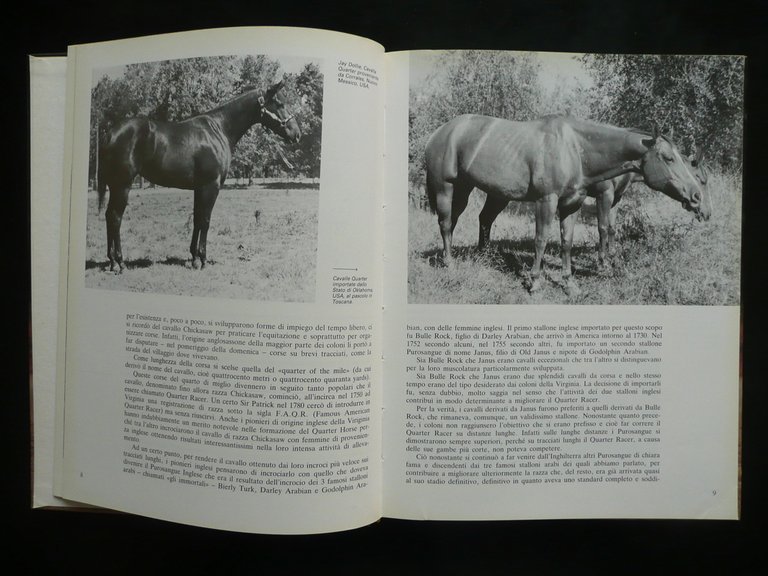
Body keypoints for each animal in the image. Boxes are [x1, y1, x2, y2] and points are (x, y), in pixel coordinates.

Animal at [97, 79, 301, 272]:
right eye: (280, 103)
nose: (297, 134)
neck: (219, 129)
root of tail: (111, 133)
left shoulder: (199, 188)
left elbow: (196, 219)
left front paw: (194, 257)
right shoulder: (211, 186)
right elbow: (205, 220)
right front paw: (202, 259)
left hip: (116, 186)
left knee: (108, 216)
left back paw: (112, 261)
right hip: (122, 185)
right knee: (115, 217)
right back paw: (119, 263)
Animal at [424, 114, 708, 295]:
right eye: (668, 158)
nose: (697, 197)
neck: (575, 150)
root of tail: (439, 132)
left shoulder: (574, 204)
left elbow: (567, 241)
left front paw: (569, 283)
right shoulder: (547, 201)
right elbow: (542, 239)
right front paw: (535, 282)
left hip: (484, 191)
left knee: (479, 219)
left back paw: (484, 255)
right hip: (446, 188)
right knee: (446, 222)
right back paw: (449, 263)